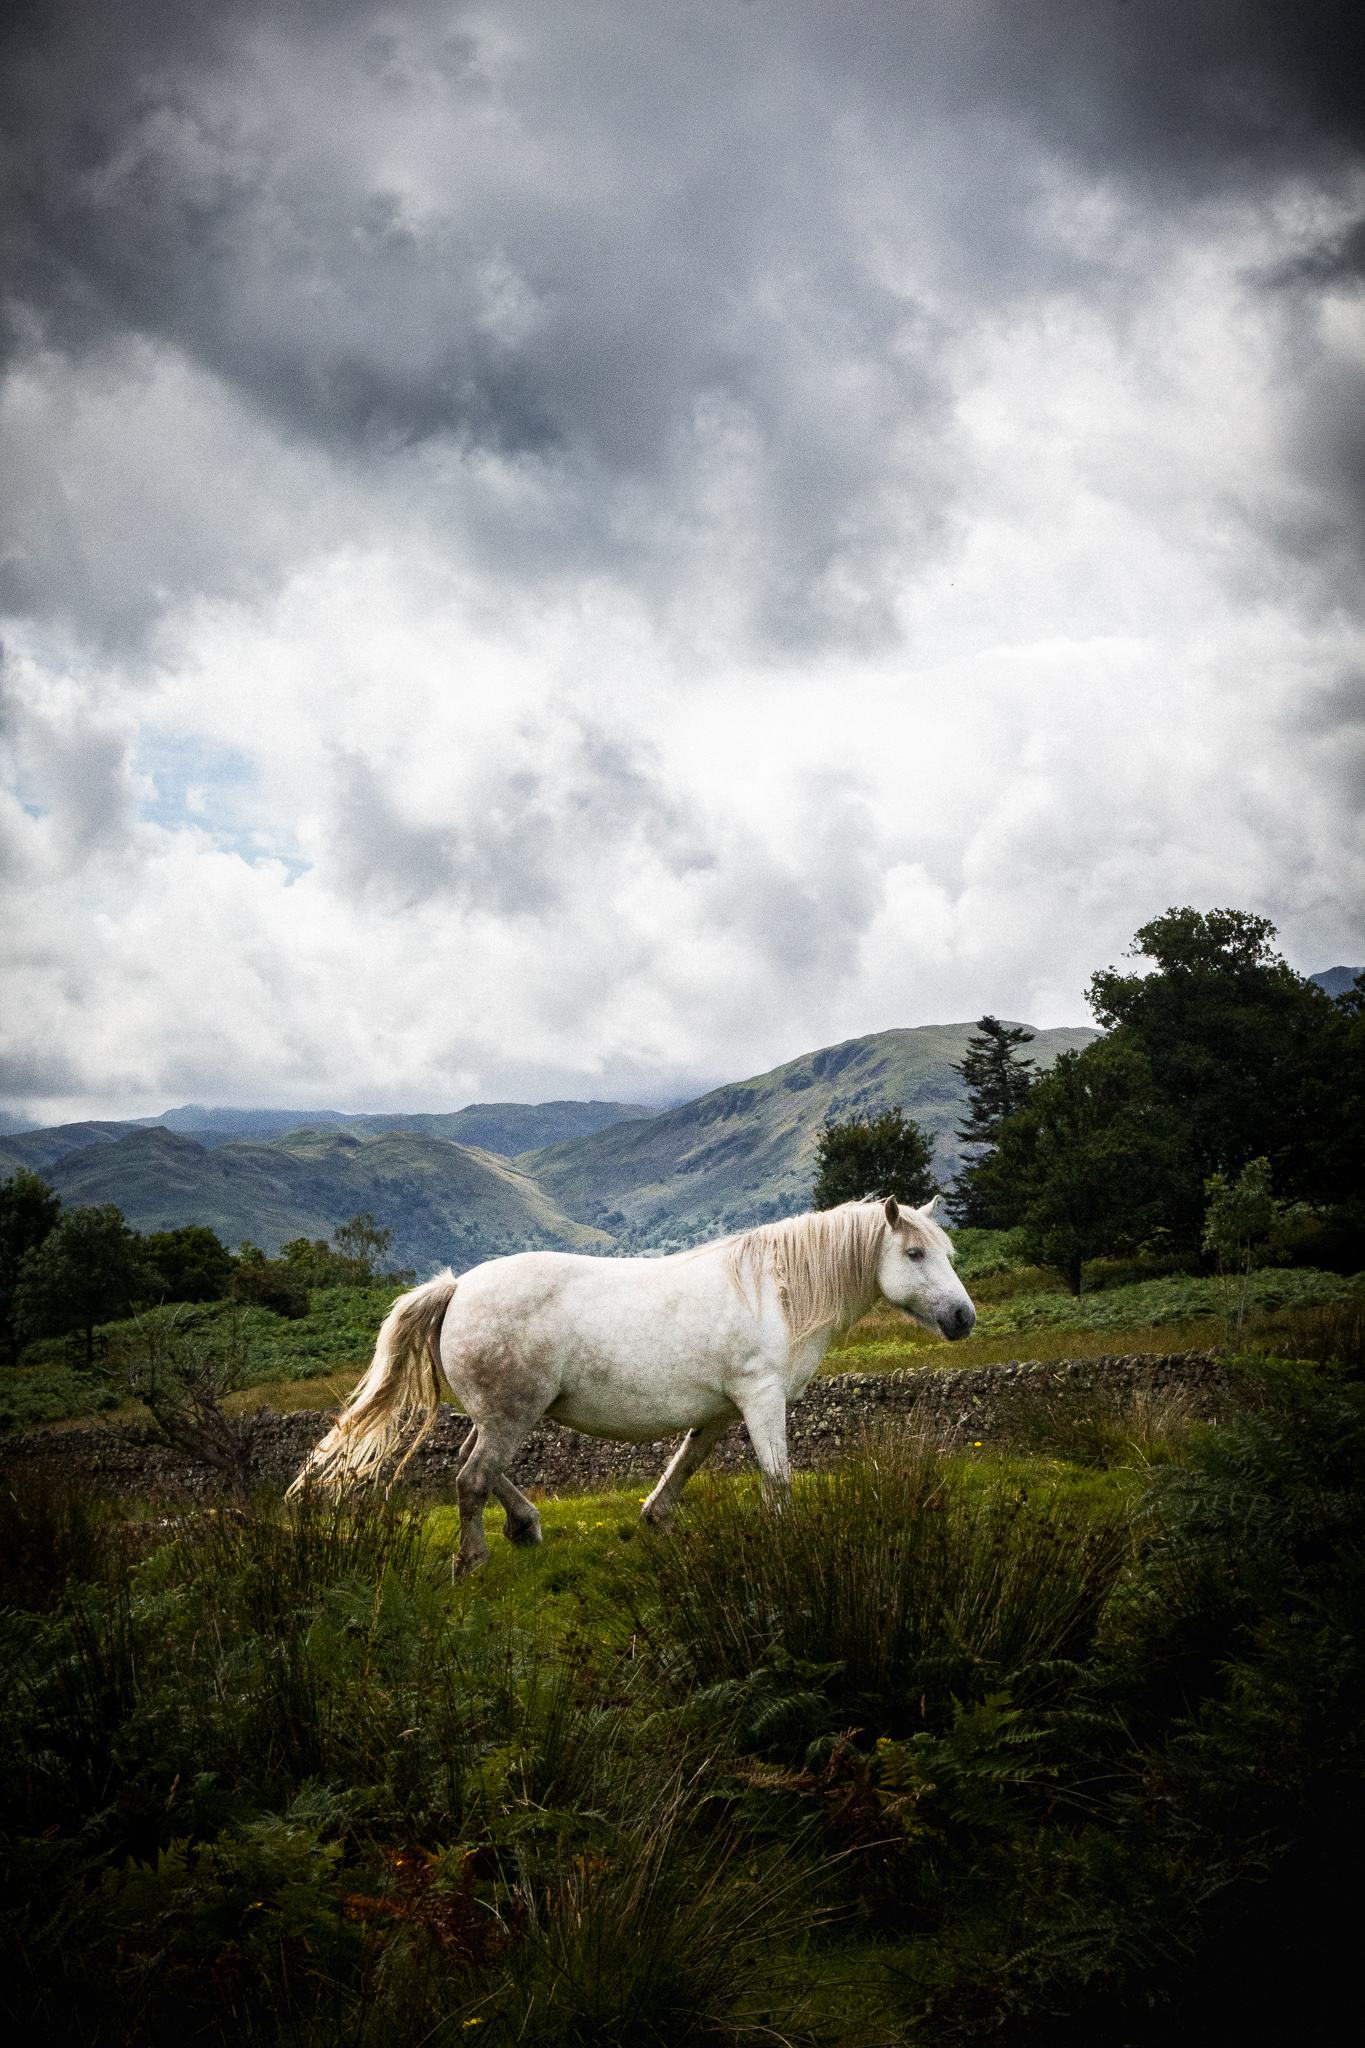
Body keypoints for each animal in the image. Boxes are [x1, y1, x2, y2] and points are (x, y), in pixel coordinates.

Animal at [290, 1196, 970, 1572]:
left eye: (949, 1253)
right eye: (914, 1254)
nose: (963, 1318)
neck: (775, 1292)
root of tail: (459, 1287)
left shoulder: (721, 1411)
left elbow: (685, 1464)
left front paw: (655, 1519)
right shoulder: (761, 1400)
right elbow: (777, 1478)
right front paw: (790, 1542)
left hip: (501, 1416)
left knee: (472, 1464)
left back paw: (525, 1526)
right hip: (512, 1415)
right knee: (471, 1478)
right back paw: (474, 1560)